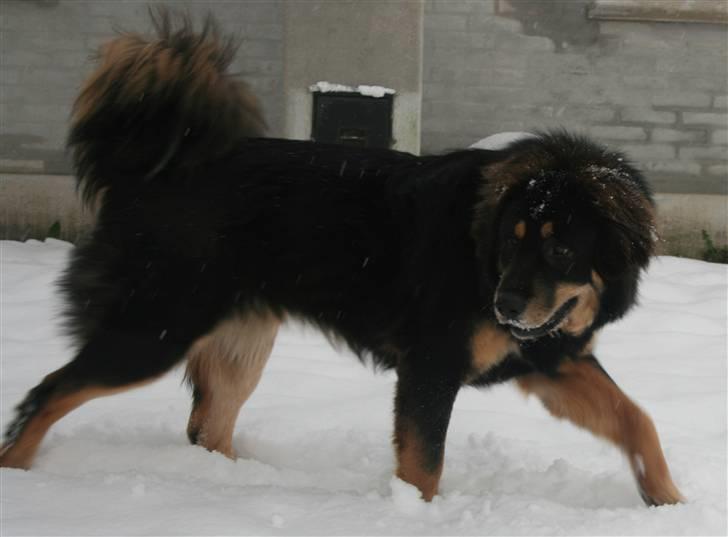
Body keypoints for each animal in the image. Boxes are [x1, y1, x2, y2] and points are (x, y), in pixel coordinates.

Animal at [0, 13, 684, 506]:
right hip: (154, 330)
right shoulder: (432, 368)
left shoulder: (550, 361)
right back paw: (20, 476)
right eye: (511, 242)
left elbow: (638, 420)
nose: (505, 304)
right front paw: (414, 518)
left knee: (205, 430)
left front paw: (668, 500)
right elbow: (423, 466)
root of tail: (148, 172)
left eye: (561, 247)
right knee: (47, 392)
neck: (481, 256)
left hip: (239, 342)